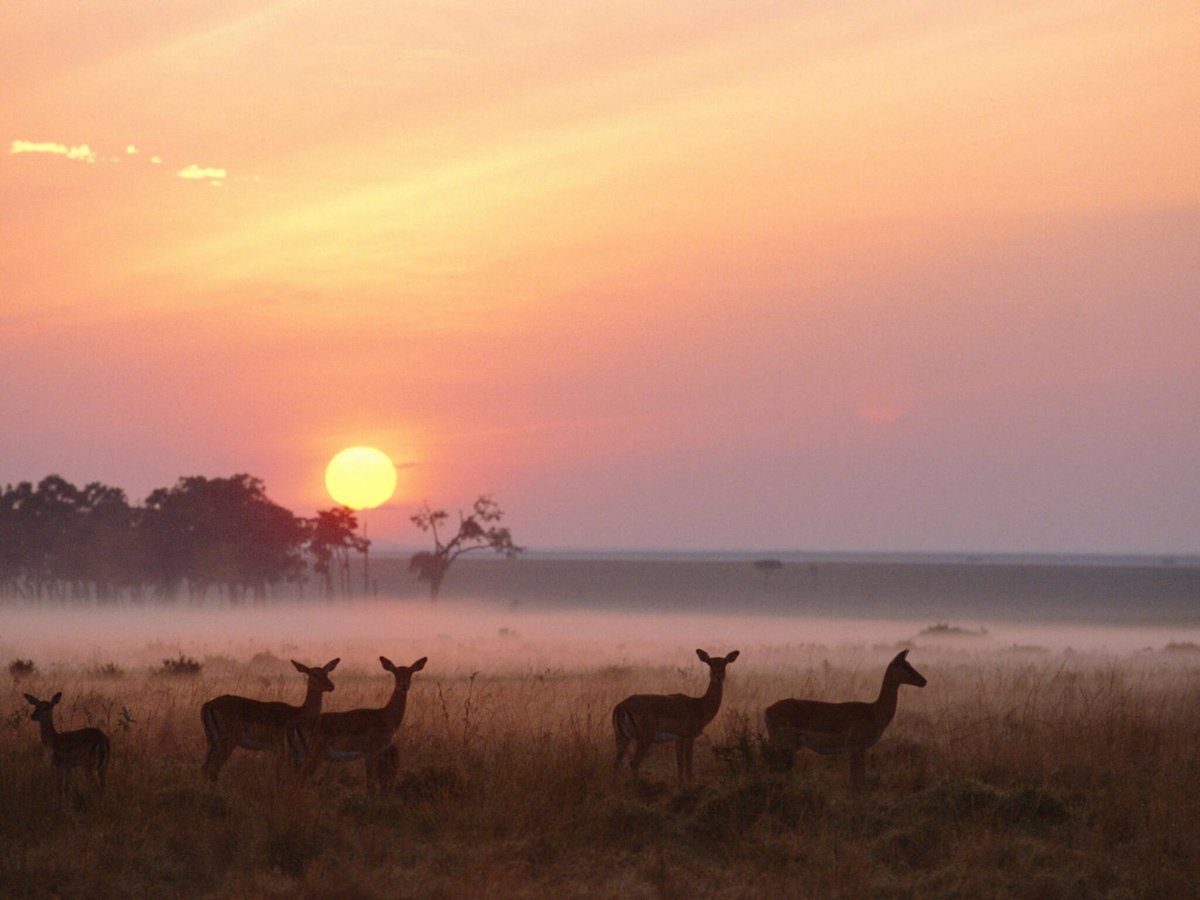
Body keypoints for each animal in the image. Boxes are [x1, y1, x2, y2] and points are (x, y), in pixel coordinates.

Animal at [200, 657, 339, 782]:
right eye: (315, 674)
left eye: (327, 673)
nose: (331, 686)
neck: (299, 711)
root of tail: (208, 704)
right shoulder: (282, 749)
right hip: (227, 742)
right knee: (213, 769)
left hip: (212, 741)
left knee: (205, 768)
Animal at [291, 656, 427, 793]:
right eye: (395, 673)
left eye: (410, 672)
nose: (403, 686)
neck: (384, 716)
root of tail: (297, 725)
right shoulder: (372, 752)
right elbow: (371, 785)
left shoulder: (368, 755)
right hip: (314, 756)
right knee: (299, 779)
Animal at [612, 649, 740, 783]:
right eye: (710, 663)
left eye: (725, 663)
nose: (718, 677)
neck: (699, 705)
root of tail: (621, 707)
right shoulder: (689, 736)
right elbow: (688, 766)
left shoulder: (678, 739)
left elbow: (680, 767)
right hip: (644, 738)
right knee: (633, 763)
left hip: (622, 738)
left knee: (616, 764)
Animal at [764, 649, 927, 788]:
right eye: (904, 666)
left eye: (909, 664)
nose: (924, 681)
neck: (873, 711)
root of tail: (767, 709)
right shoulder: (855, 748)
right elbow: (857, 780)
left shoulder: (859, 749)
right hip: (782, 742)